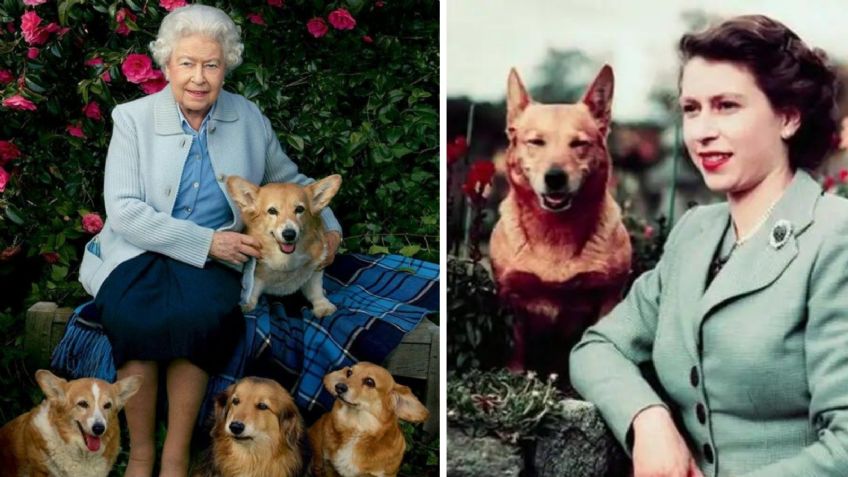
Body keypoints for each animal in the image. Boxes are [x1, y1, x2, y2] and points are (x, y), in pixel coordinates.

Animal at [486, 65, 632, 378]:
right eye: (535, 142)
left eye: (579, 143)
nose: (555, 177)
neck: (555, 231)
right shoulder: (511, 297)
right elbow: (515, 349)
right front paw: (514, 377)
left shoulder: (609, 296)